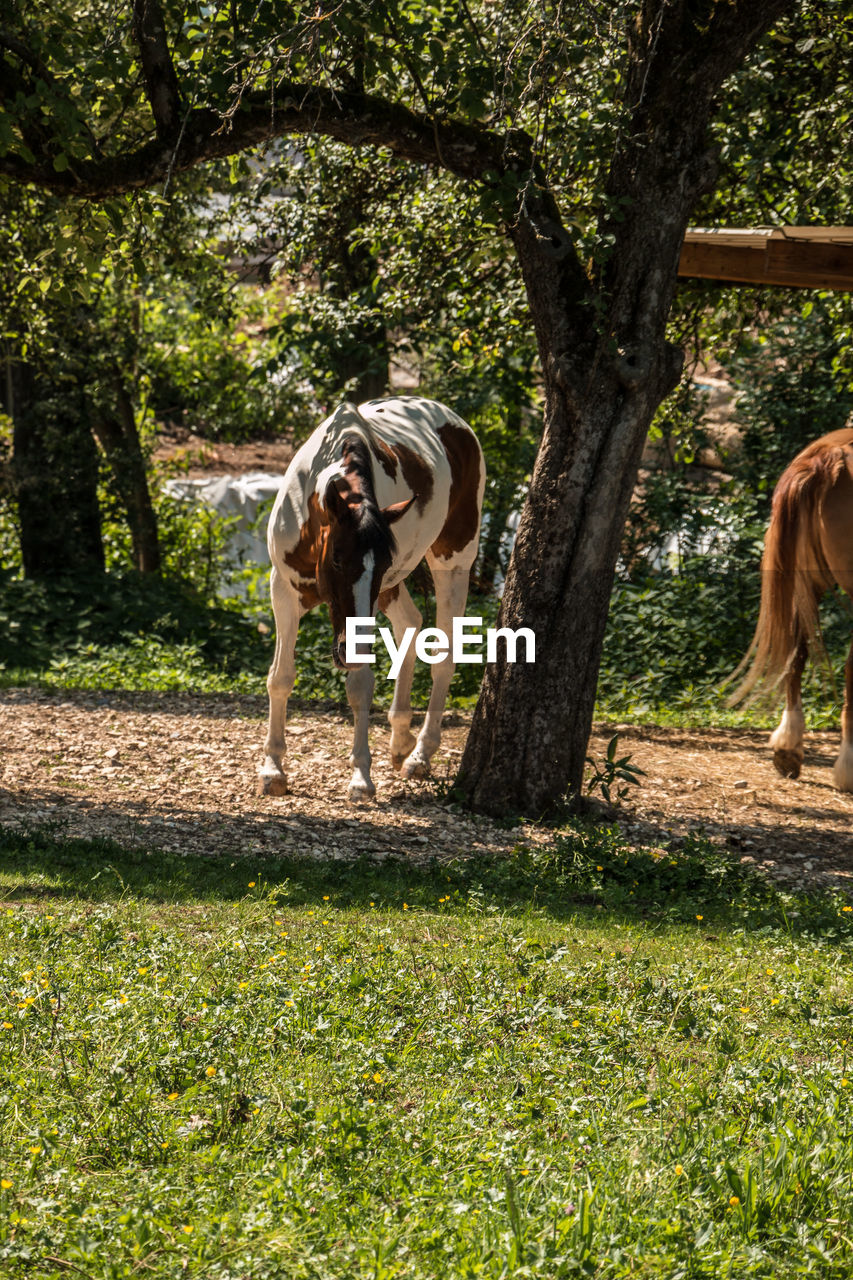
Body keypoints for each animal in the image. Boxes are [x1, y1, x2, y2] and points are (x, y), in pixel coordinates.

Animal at [258, 394, 481, 803]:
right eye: (336, 558)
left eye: (380, 564)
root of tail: (453, 420)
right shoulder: (282, 589)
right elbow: (280, 677)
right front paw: (273, 769)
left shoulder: (372, 598)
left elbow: (360, 686)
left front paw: (360, 776)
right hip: (395, 589)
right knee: (410, 624)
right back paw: (401, 738)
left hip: (452, 563)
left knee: (444, 655)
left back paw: (420, 754)